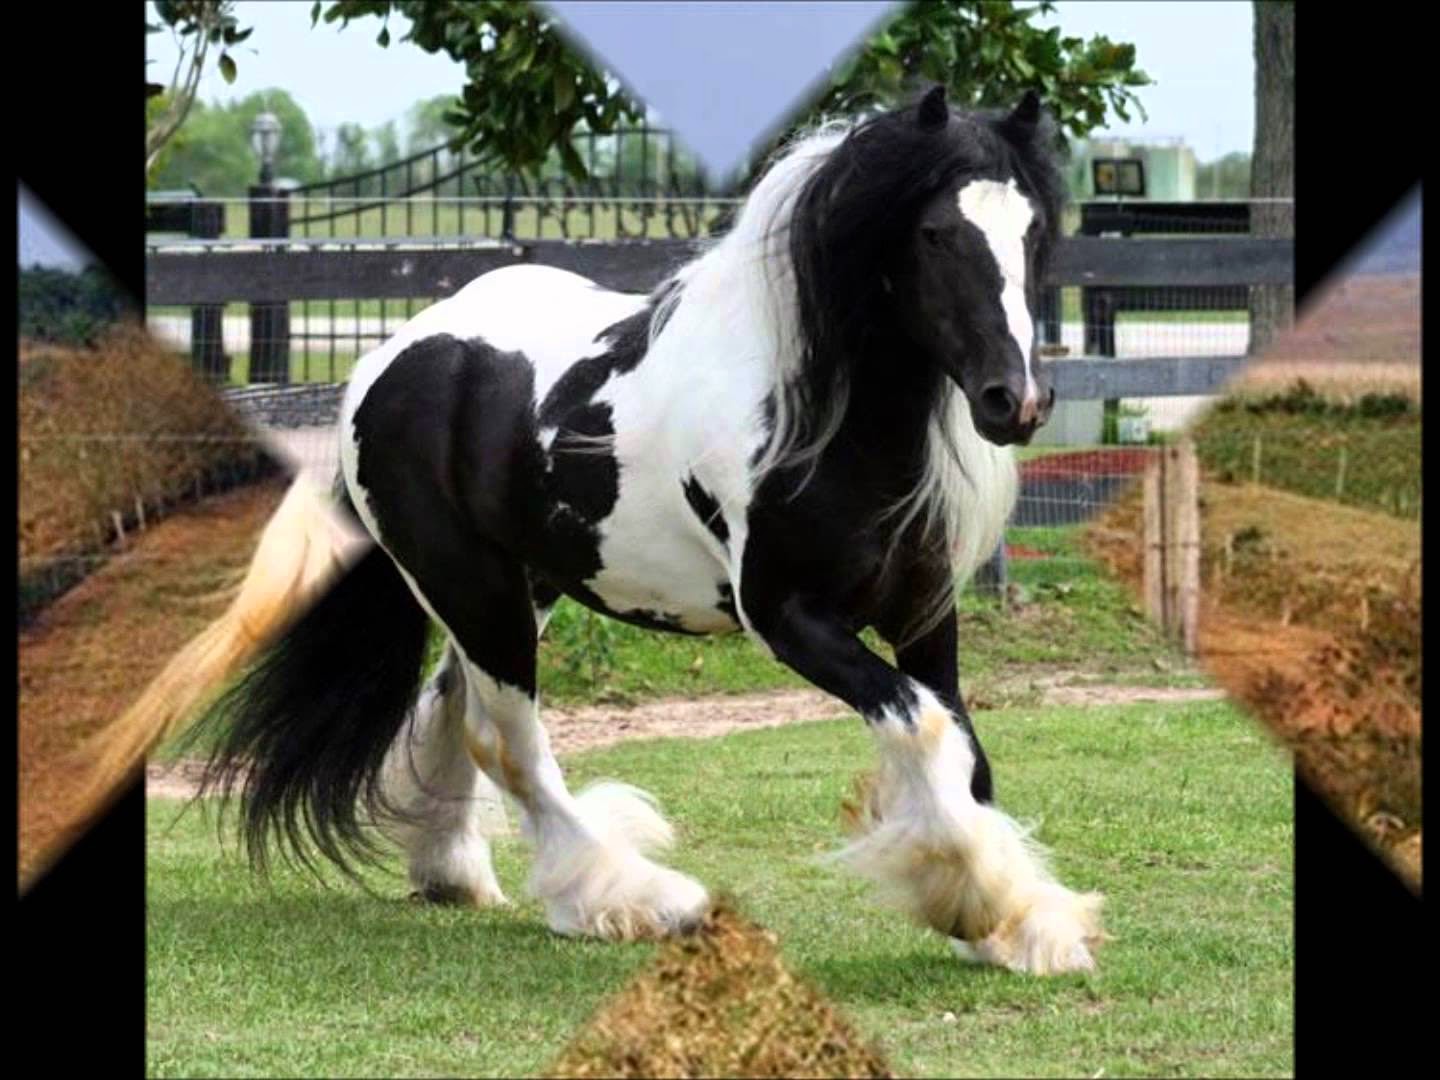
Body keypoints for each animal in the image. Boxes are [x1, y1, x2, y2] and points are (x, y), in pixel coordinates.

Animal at [185, 84, 1104, 975]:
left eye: (1033, 233)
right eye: (937, 233)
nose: (1015, 401)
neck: (818, 420)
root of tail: (388, 360)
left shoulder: (922, 611)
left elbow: (964, 749)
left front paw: (1024, 922)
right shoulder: (790, 620)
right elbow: (924, 726)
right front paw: (983, 903)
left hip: (521, 585)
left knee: (451, 711)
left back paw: (453, 872)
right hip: (469, 588)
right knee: (507, 742)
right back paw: (635, 898)